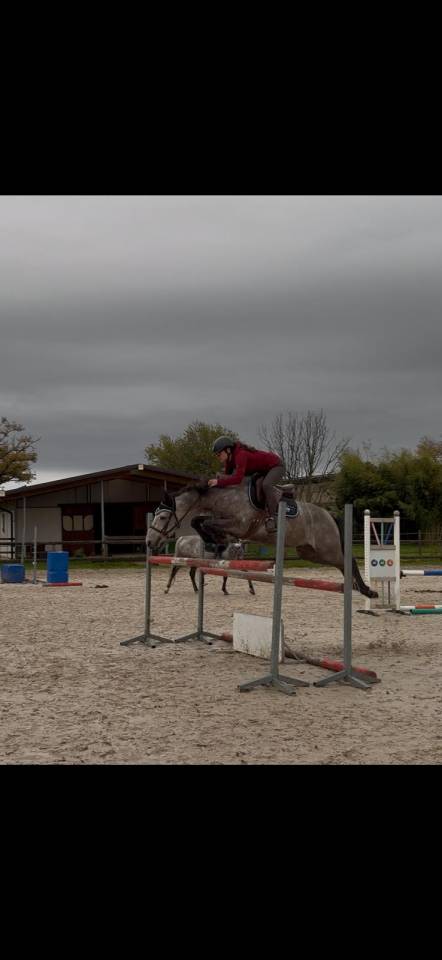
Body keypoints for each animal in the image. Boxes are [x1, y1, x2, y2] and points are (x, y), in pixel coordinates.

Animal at [146, 476, 378, 599]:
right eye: (155, 514)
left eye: (163, 516)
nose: (149, 541)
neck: (225, 498)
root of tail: (329, 514)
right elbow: (198, 521)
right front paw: (215, 540)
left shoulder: (241, 525)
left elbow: (207, 523)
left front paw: (219, 539)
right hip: (311, 553)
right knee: (342, 564)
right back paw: (358, 589)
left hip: (326, 548)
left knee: (348, 560)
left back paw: (367, 590)